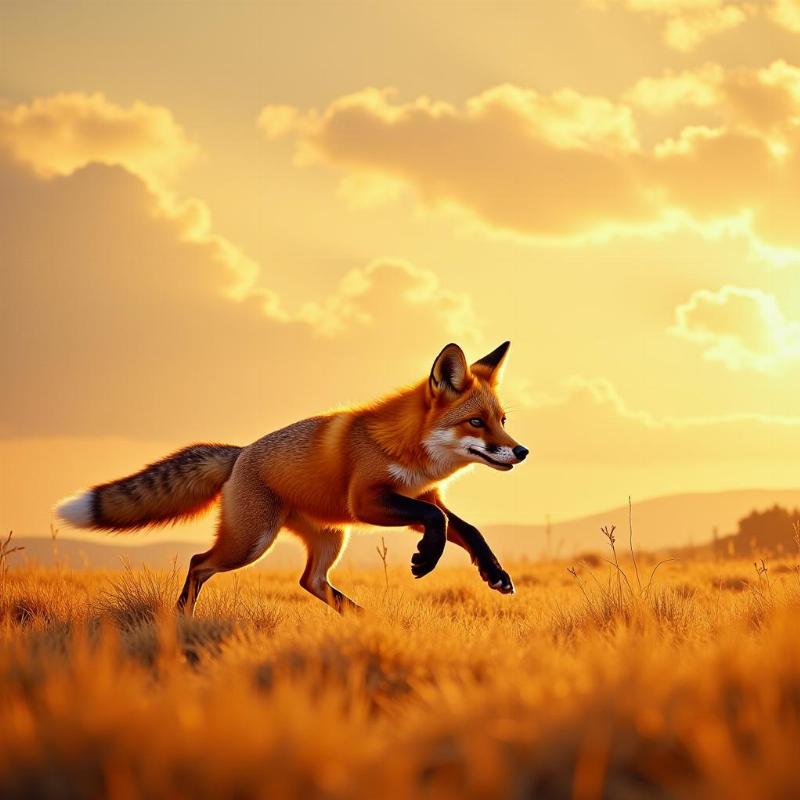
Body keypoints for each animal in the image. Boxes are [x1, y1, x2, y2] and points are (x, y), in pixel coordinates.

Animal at [57, 342, 532, 612]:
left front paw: (494, 574)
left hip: (331, 537)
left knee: (311, 581)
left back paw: (362, 617)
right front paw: (426, 560)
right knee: (198, 563)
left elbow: (465, 528)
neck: (411, 450)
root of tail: (240, 454)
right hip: (251, 543)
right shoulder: (368, 500)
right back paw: (180, 619)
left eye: (502, 420)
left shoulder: (422, 496)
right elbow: (442, 522)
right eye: (476, 423)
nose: (521, 451)